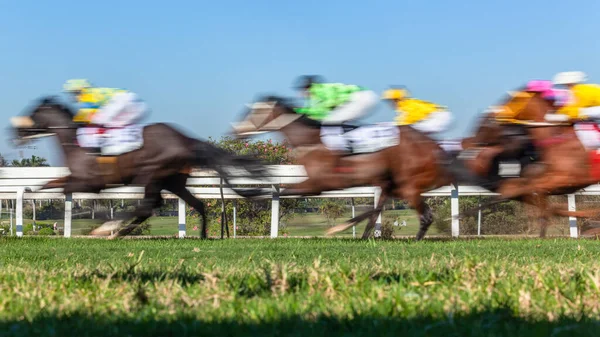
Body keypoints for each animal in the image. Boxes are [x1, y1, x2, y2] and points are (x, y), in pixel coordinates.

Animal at [9, 97, 270, 238]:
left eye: (33, 113)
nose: (15, 132)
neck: (76, 143)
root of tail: (185, 140)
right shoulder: (77, 180)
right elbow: (48, 185)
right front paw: (29, 191)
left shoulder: (89, 182)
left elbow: (68, 193)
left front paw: (100, 224)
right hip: (172, 181)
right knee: (196, 203)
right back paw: (203, 236)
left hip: (151, 174)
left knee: (147, 206)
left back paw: (113, 231)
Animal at [229, 94, 460, 239]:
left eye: (255, 112)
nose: (236, 130)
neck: (310, 140)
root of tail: (434, 147)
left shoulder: (317, 184)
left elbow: (278, 193)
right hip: (394, 182)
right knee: (381, 210)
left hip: (408, 185)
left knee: (425, 216)